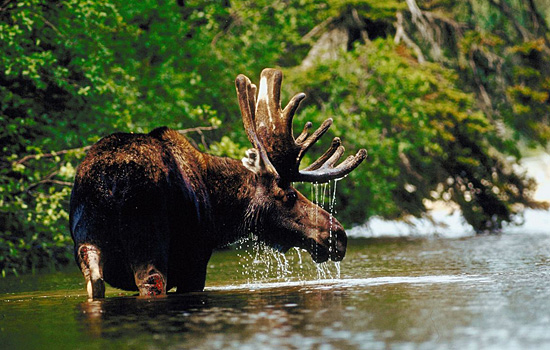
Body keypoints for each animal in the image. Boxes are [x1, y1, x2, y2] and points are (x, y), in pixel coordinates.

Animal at [71, 68, 368, 298]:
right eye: (290, 195)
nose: (339, 235)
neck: (221, 211)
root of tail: (110, 178)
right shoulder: (195, 260)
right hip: (147, 238)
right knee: (151, 281)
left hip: (87, 240)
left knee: (95, 280)